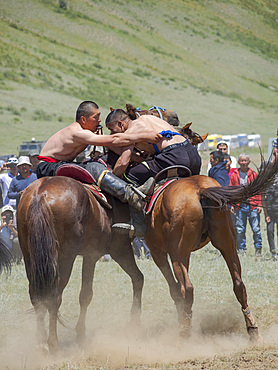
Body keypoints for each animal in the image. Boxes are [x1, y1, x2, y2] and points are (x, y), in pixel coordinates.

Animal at [16, 178, 143, 354]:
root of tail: (41, 194)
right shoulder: (112, 250)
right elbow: (87, 294)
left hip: (30, 256)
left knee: (36, 296)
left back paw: (40, 342)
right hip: (66, 257)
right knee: (54, 297)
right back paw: (53, 343)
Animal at [144, 160, 276, 342]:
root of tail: (200, 191)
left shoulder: (158, 252)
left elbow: (175, 289)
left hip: (177, 254)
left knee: (187, 289)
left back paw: (184, 332)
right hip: (228, 245)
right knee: (239, 285)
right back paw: (253, 330)